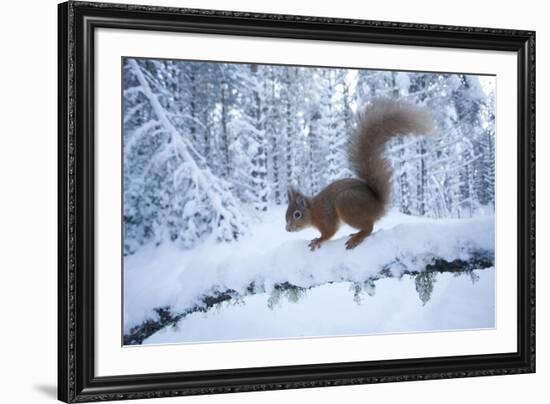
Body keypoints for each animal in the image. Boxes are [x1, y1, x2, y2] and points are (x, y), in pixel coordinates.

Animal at [284, 98, 436, 249]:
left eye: (297, 214)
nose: (287, 229)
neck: (313, 210)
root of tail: (379, 206)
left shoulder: (326, 218)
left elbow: (329, 233)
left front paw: (318, 240)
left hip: (346, 203)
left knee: (369, 228)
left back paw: (356, 238)